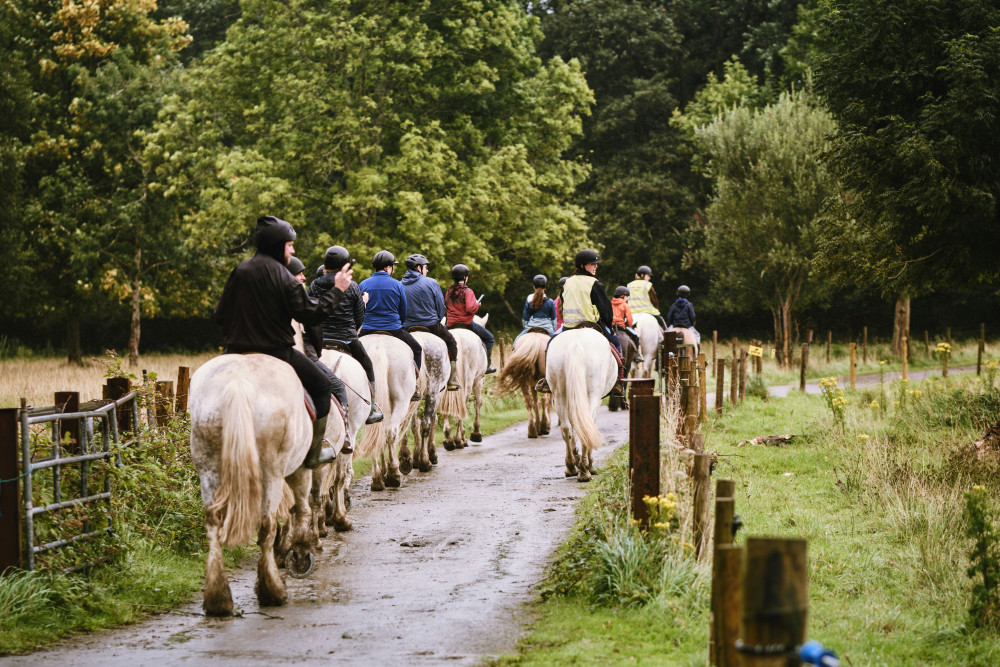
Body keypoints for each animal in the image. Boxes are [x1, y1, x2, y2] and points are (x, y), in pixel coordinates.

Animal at [189, 354, 318, 616]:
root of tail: (238, 383)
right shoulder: (301, 469)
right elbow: (302, 510)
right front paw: (299, 552)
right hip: (272, 472)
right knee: (267, 525)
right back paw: (272, 591)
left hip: (208, 468)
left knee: (213, 523)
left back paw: (218, 599)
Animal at [358, 336, 416, 494]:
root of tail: (379, 346)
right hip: (402, 401)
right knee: (390, 432)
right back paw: (393, 475)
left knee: (374, 437)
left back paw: (377, 479)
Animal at [402, 332, 450, 472]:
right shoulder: (436, 395)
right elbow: (433, 421)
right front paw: (431, 454)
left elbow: (414, 425)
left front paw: (414, 457)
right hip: (433, 392)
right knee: (426, 425)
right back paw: (425, 462)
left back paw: (405, 460)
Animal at [438, 318, 488, 448]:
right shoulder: (478, 380)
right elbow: (478, 403)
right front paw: (476, 433)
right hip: (469, 380)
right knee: (463, 402)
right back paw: (459, 439)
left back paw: (448, 438)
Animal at [544, 328, 620, 480]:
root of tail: (575, 343)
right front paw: (587, 463)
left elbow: (574, 426)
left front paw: (576, 458)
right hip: (593, 394)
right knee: (587, 425)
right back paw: (585, 470)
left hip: (559, 394)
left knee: (566, 428)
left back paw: (571, 467)